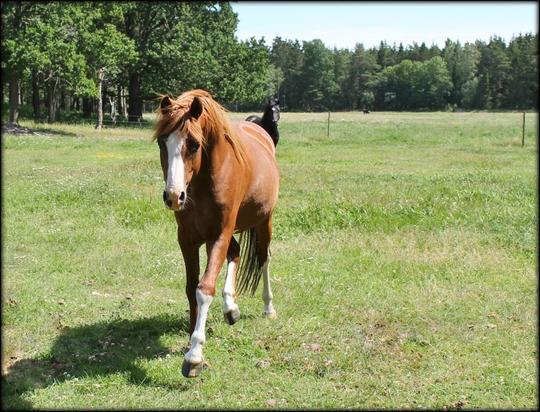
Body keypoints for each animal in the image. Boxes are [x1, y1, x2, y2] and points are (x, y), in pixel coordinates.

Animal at [152, 89, 278, 376]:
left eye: (194, 144)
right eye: (162, 143)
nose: (173, 196)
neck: (201, 184)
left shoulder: (218, 234)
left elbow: (205, 288)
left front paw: (194, 355)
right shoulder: (187, 239)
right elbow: (191, 288)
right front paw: (191, 336)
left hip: (263, 221)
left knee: (263, 259)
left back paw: (268, 308)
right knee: (236, 253)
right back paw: (231, 308)